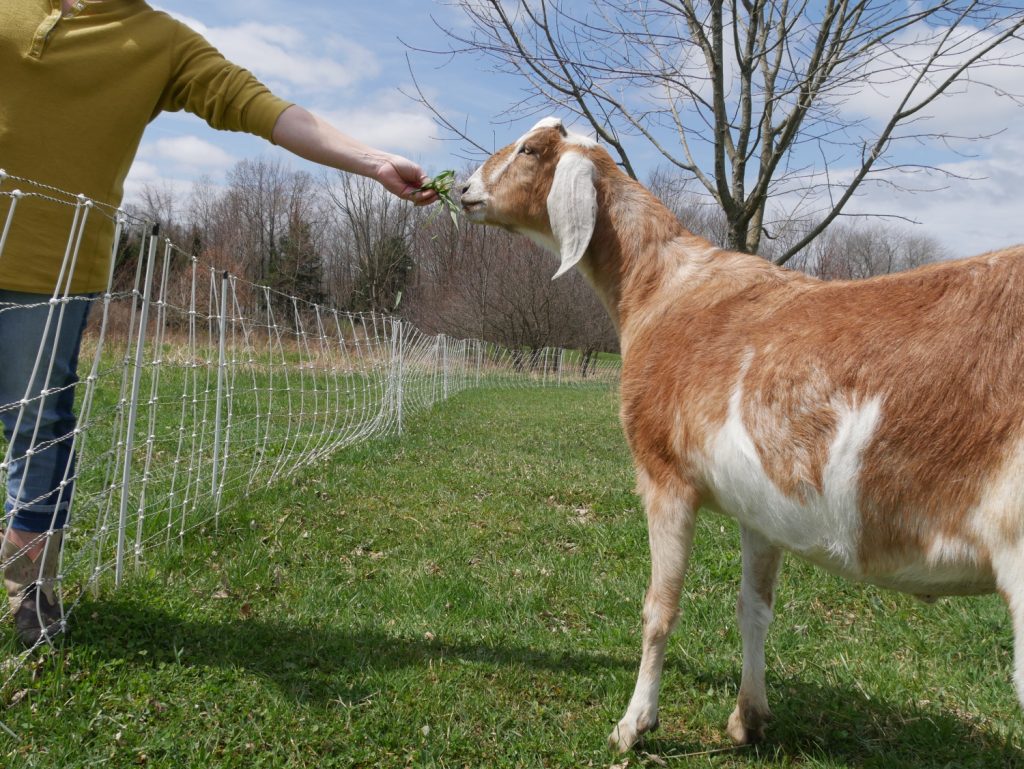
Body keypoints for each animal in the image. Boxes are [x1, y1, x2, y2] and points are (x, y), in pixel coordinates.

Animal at [460, 117, 1024, 753]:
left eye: (529, 150)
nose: (464, 190)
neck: (661, 289)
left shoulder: (664, 476)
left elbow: (660, 609)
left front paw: (634, 724)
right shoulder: (763, 508)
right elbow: (754, 608)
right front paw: (748, 718)